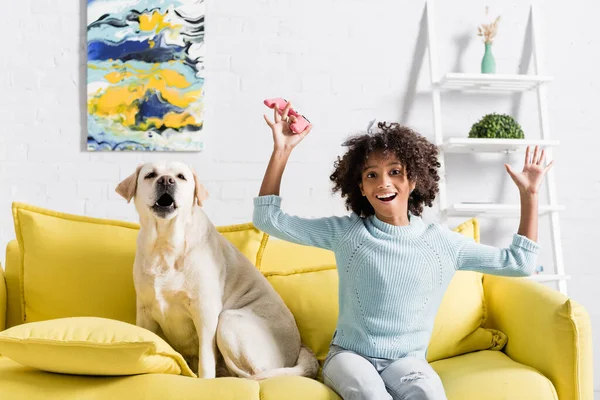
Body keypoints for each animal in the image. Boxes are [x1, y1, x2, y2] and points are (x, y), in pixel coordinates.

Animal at [113, 161, 318, 380]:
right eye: (150, 175)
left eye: (181, 176)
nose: (166, 180)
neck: (165, 243)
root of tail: (300, 347)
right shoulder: (145, 311)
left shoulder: (205, 312)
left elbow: (206, 359)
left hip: (229, 320)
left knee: (255, 373)